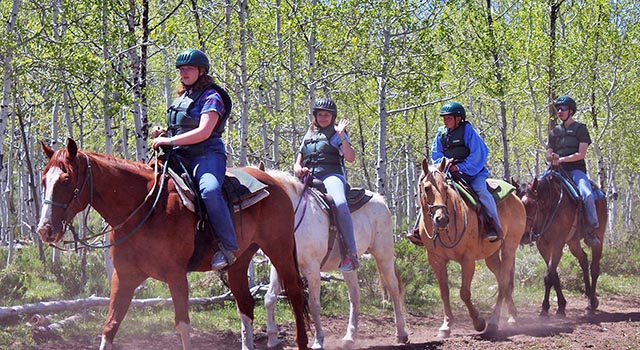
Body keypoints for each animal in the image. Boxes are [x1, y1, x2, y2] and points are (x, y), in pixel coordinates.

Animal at [35, 139, 310, 350]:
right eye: (43, 180)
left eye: (67, 180)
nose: (45, 230)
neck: (143, 208)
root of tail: (273, 181)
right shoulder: (124, 277)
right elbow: (110, 326)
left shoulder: (176, 276)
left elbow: (183, 326)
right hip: (239, 262)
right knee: (245, 304)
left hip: (279, 249)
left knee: (296, 294)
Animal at [264, 169, 410, 348]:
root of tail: (380, 199)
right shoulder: (279, 265)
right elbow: (269, 298)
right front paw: (272, 340)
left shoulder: (312, 269)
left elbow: (314, 304)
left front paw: (319, 340)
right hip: (349, 265)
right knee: (355, 295)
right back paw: (350, 337)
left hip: (384, 254)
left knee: (393, 289)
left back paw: (401, 333)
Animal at [420, 160, 524, 338]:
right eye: (426, 188)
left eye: (446, 187)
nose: (442, 219)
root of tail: (516, 197)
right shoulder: (435, 259)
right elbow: (444, 291)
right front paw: (446, 326)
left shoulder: (467, 260)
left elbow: (464, 292)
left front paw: (478, 322)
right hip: (491, 256)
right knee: (502, 280)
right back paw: (512, 317)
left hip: (509, 249)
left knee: (504, 282)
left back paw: (494, 322)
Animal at [516, 170, 604, 318]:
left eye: (531, 204)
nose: (523, 236)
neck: (550, 208)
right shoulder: (543, 246)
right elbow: (554, 275)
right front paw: (561, 306)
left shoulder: (558, 244)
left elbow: (548, 276)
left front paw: (545, 309)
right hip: (573, 243)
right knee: (583, 259)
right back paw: (588, 298)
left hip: (599, 238)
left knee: (594, 268)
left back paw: (591, 303)